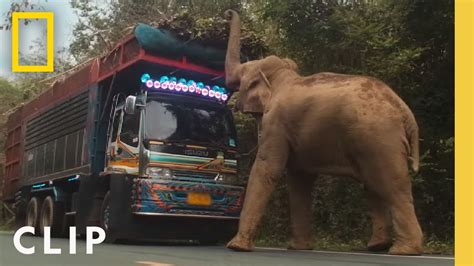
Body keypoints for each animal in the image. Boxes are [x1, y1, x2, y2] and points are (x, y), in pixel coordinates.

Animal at [224, 9, 424, 256]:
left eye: (242, 77)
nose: (228, 12)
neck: (283, 77)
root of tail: (404, 110)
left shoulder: (275, 124)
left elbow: (267, 168)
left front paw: (236, 246)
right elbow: (299, 179)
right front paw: (298, 248)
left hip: (379, 137)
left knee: (392, 185)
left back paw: (403, 250)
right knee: (373, 185)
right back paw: (378, 246)